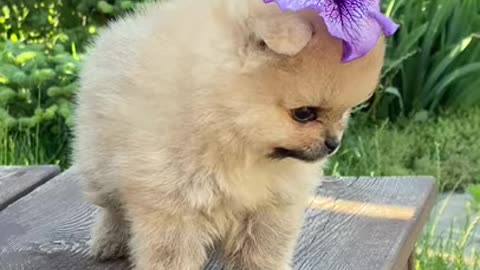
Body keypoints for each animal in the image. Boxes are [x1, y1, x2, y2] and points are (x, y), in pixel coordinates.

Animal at [72, 0, 386, 270]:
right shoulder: (172, 204)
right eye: (304, 113)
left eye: (344, 112)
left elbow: (263, 250)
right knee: (113, 209)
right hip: (99, 168)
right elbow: (171, 254)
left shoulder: (271, 206)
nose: (333, 143)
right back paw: (109, 242)